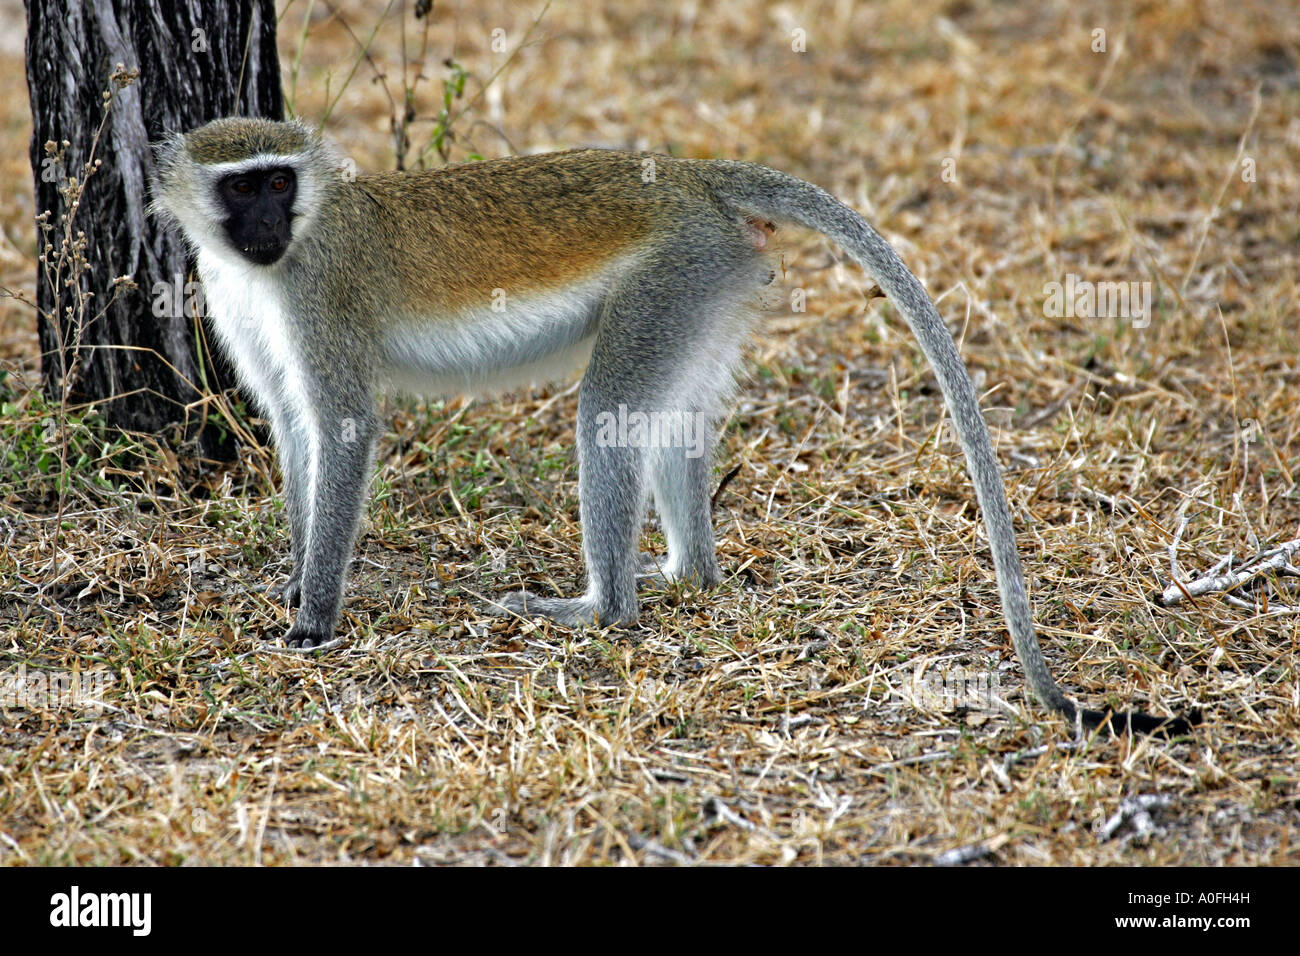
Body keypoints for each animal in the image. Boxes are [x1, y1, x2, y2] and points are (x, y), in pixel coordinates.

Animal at [151, 117, 1196, 737]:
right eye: (240, 186)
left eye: (277, 183)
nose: (263, 228)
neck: (280, 256)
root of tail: (692, 177)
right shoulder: (241, 299)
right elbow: (295, 432)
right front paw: (295, 579)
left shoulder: (321, 289)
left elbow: (344, 429)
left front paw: (314, 618)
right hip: (710, 283)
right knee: (670, 418)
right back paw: (686, 571)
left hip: (676, 271)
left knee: (605, 414)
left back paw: (600, 608)